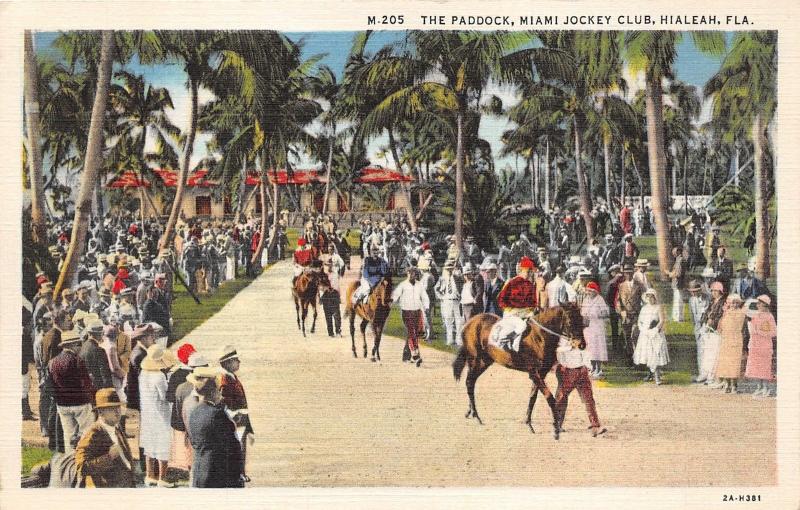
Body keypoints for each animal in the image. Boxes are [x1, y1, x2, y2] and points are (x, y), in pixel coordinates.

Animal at [454, 302, 584, 438]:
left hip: (485, 361)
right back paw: (476, 416)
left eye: (582, 319)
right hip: (474, 359)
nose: (581, 344)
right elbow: (550, 398)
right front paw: (556, 429)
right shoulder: (534, 373)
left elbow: (533, 396)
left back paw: (470, 412)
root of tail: (470, 322)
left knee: (472, 381)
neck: (540, 337)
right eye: (570, 321)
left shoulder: (541, 373)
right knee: (469, 382)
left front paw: (528, 423)